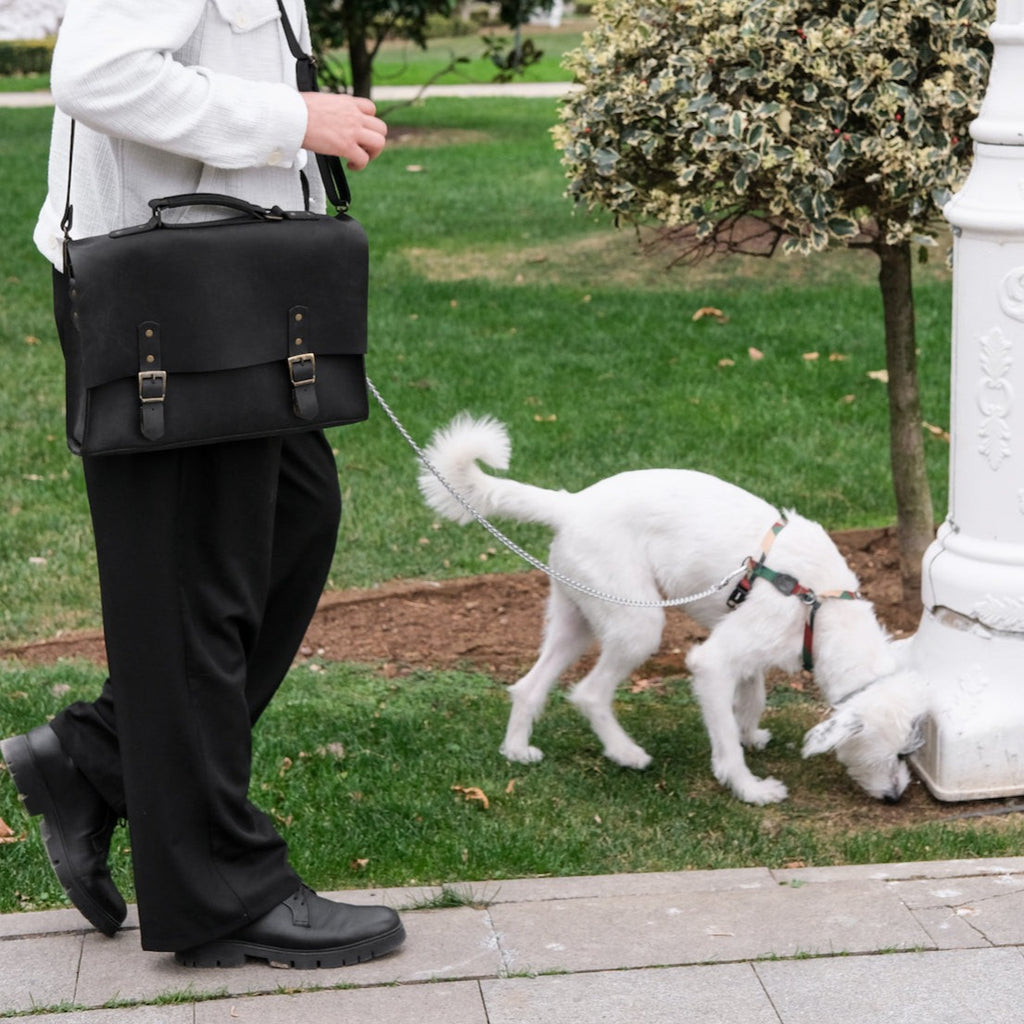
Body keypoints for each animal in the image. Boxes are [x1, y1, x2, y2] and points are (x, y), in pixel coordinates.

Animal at [415, 411, 929, 802]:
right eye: (900, 753)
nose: (896, 796)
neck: (819, 607)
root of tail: (572, 505)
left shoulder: (745, 649)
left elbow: (753, 698)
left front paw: (749, 733)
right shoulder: (713, 661)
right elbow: (726, 738)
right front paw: (749, 787)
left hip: (577, 620)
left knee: (527, 687)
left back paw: (517, 751)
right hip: (638, 624)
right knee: (588, 693)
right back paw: (626, 754)